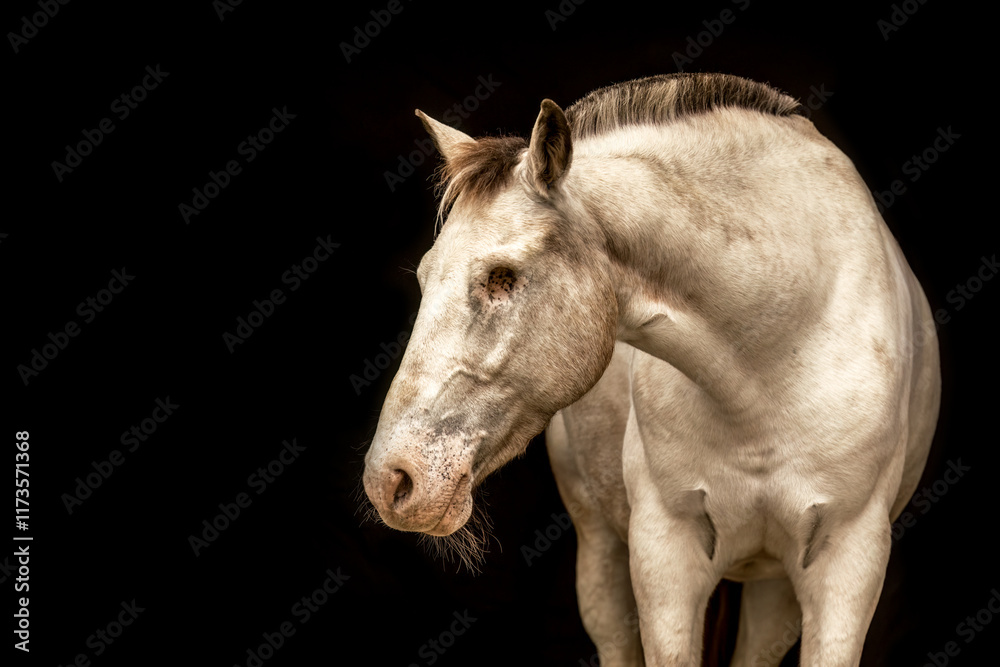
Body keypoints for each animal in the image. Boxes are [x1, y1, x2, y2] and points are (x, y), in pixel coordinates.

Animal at [362, 73, 941, 666]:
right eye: (425, 276)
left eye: (502, 276)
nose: (392, 480)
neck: (778, 353)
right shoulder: (665, 557)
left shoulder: (848, 565)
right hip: (600, 549)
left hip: (772, 588)